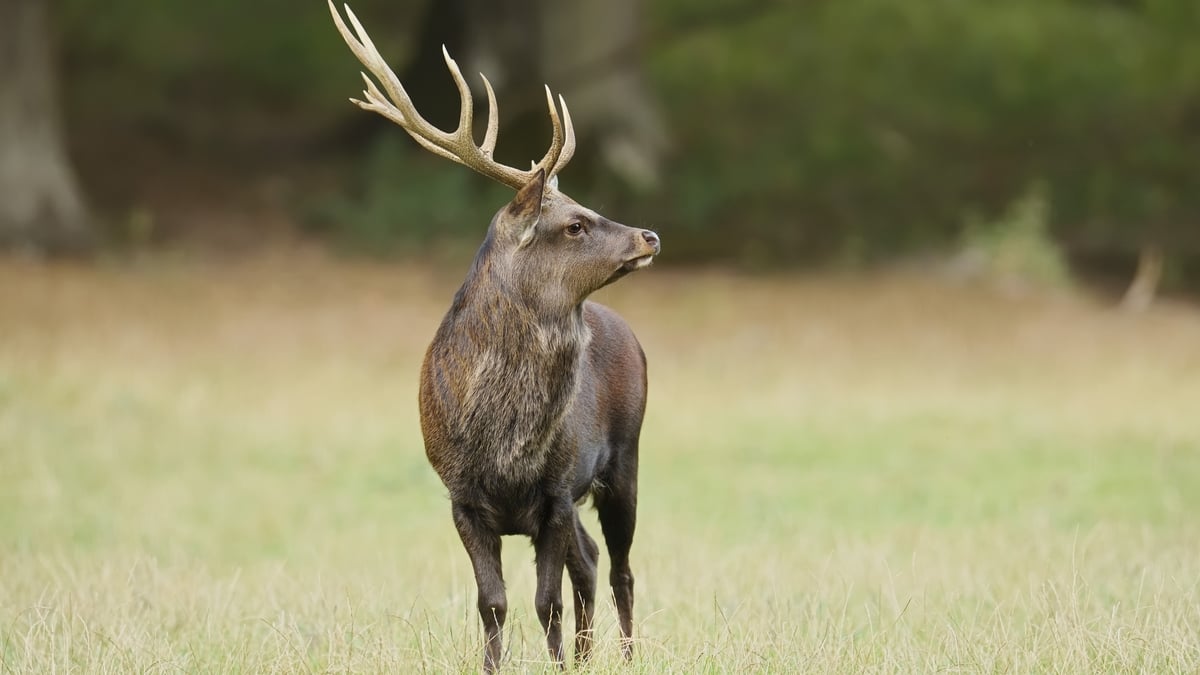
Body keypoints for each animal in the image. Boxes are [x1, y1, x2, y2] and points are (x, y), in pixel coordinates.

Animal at [329, 3, 661, 671]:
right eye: (575, 223)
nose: (649, 235)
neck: (504, 442)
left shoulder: (555, 492)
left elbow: (545, 602)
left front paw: (556, 662)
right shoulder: (462, 499)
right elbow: (494, 603)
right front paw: (498, 664)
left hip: (626, 456)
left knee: (620, 569)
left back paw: (624, 656)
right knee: (592, 563)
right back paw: (586, 657)